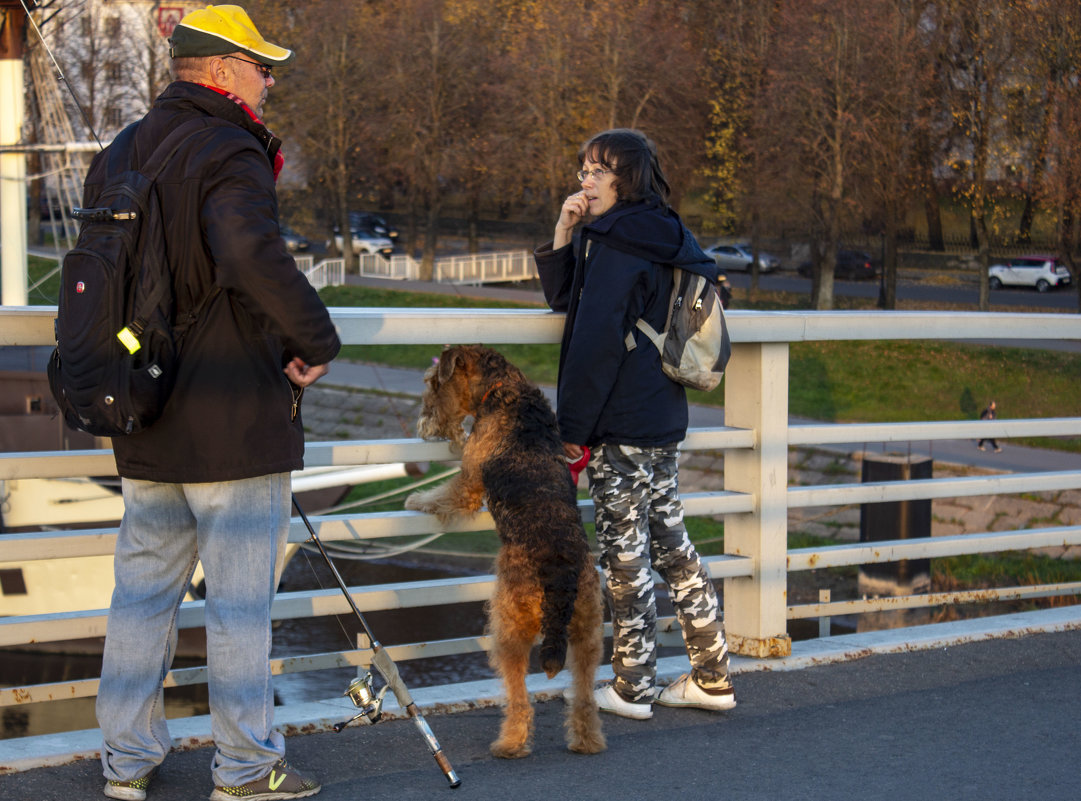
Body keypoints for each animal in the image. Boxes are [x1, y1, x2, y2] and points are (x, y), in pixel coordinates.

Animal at [406, 343, 609, 756]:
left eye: (433, 383)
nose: (425, 425)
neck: (504, 388)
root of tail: (559, 573)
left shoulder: (469, 481)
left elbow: (444, 496)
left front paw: (416, 500)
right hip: (588, 631)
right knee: (583, 695)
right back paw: (587, 741)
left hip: (509, 628)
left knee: (519, 698)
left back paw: (510, 743)